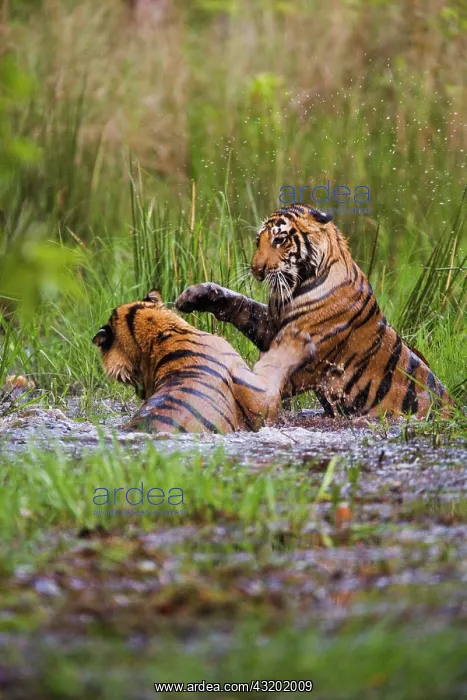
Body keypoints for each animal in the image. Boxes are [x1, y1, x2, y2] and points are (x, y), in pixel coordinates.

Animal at [175, 203, 453, 419]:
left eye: (279, 239)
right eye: (258, 241)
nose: (257, 270)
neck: (295, 288)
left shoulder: (302, 362)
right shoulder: (270, 325)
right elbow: (241, 304)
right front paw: (195, 295)